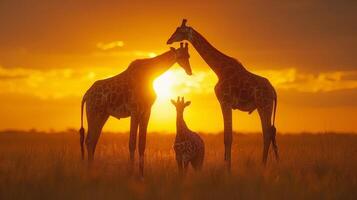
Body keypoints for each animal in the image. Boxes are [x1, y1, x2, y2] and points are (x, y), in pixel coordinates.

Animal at [79, 42, 192, 177]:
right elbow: (132, 143)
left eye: (188, 56)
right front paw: (130, 173)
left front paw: (141, 174)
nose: (189, 71)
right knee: (89, 140)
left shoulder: (146, 111)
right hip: (93, 113)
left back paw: (91, 170)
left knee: (93, 140)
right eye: (180, 56)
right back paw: (89, 171)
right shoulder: (134, 110)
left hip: (102, 115)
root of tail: (86, 94)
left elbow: (142, 144)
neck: (150, 75)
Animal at [166, 18, 278, 170]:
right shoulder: (225, 103)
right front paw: (227, 165)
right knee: (271, 131)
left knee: (267, 133)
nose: (169, 40)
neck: (219, 69)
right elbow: (227, 135)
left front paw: (228, 168)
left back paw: (263, 165)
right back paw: (274, 162)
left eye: (180, 31)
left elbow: (228, 137)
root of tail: (273, 91)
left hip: (264, 105)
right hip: (265, 106)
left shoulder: (225, 101)